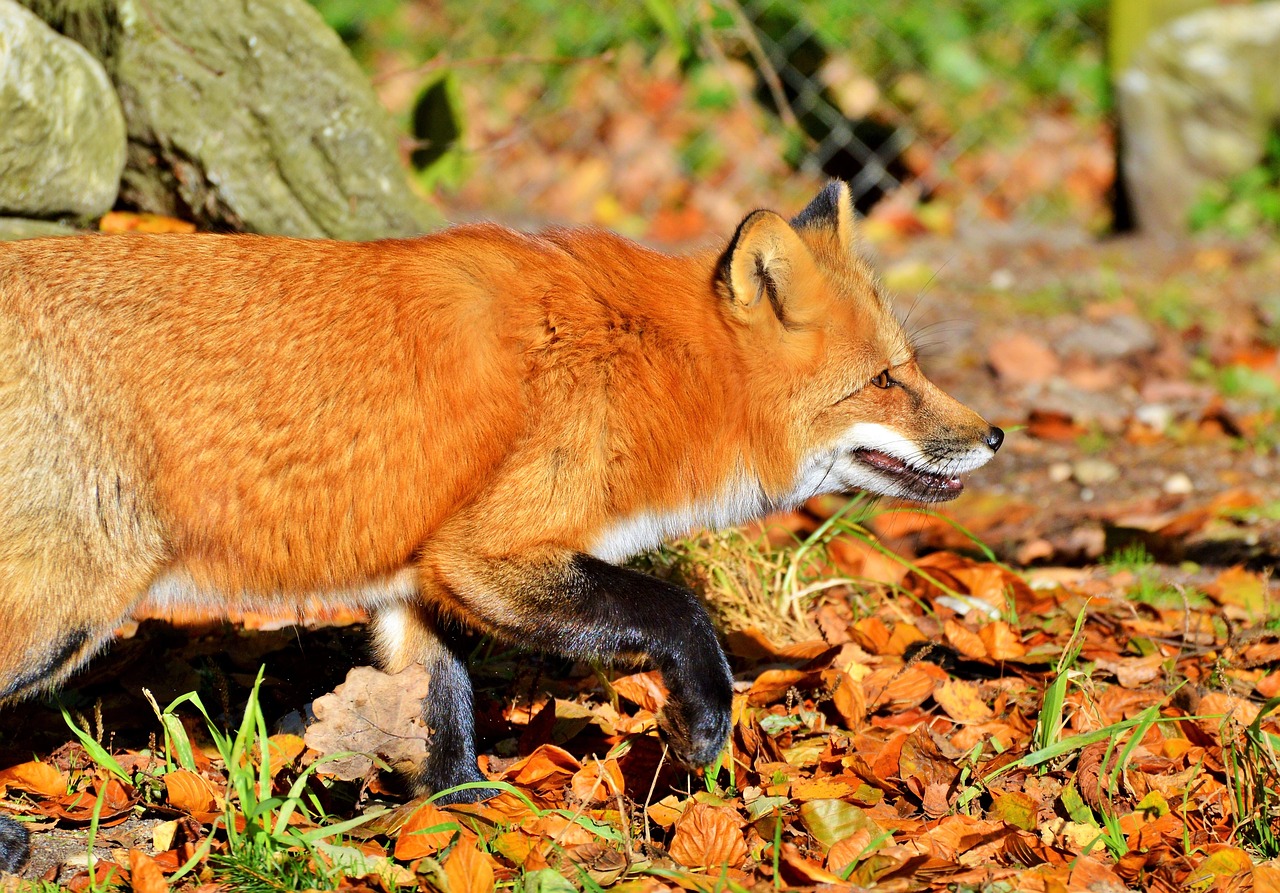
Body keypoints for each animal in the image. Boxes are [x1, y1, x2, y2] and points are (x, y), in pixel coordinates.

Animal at [0, 177, 998, 864]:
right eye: (886, 381)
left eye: (910, 366)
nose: (993, 433)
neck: (643, 367)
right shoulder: (485, 551)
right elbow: (680, 613)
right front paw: (703, 727)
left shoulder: (420, 574)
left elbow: (441, 702)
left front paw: (464, 812)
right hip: (65, 609)